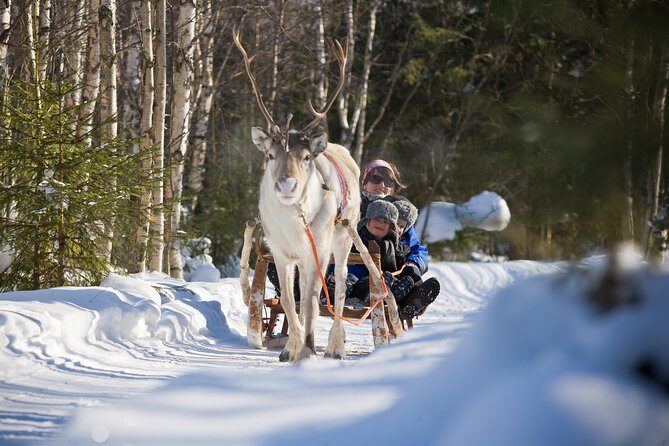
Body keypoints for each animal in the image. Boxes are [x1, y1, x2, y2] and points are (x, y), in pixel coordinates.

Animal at [233, 29, 361, 362]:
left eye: (305, 157)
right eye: (270, 155)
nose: (287, 185)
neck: (293, 225)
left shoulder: (317, 249)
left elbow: (314, 301)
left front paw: (308, 348)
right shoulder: (281, 251)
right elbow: (291, 301)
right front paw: (291, 347)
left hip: (343, 239)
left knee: (340, 289)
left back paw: (335, 346)